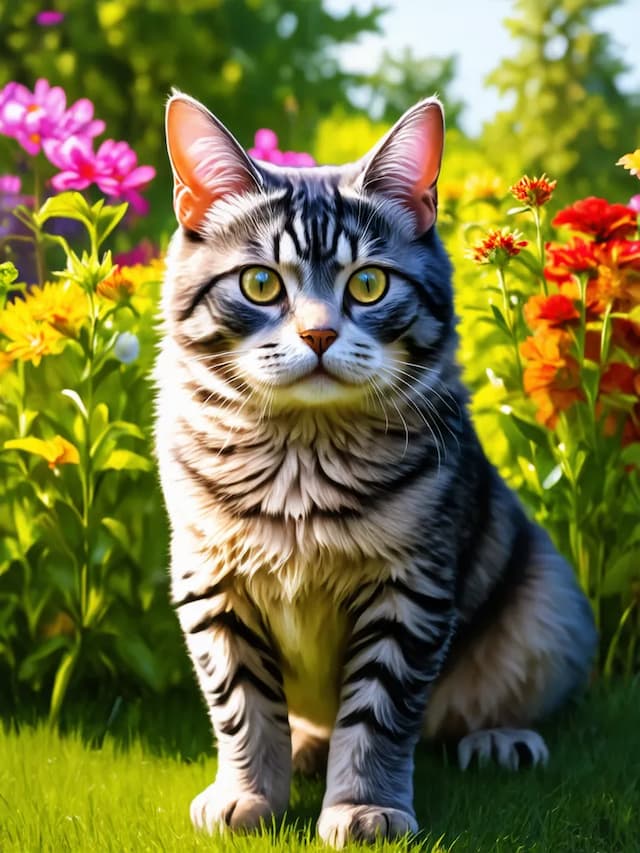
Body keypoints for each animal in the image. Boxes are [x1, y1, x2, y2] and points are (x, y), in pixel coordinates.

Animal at [154, 90, 596, 844]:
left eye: (367, 284)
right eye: (260, 283)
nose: (318, 334)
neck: (299, 454)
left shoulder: (407, 588)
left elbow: (376, 716)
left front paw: (363, 805)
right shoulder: (212, 585)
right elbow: (243, 708)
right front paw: (249, 793)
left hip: (548, 606)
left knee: (486, 706)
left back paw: (500, 739)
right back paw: (307, 745)